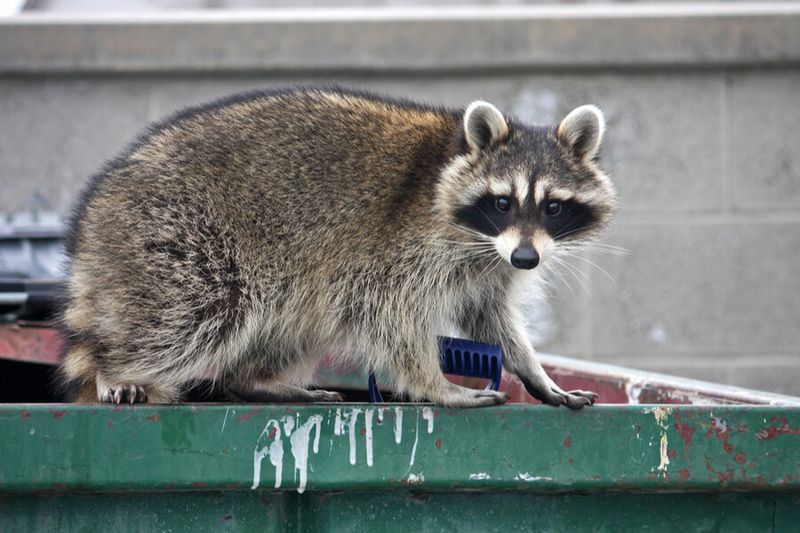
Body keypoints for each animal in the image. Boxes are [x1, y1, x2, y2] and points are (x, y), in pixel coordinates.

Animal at [60, 86, 617, 408]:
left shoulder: (489, 266)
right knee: (194, 311)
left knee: (297, 316)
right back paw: (117, 367)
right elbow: (392, 316)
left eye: (553, 207)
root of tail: (98, 207)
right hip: (176, 235)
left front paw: (534, 372)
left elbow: (489, 318)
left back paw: (256, 378)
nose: (527, 259)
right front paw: (433, 384)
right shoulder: (402, 249)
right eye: (502, 202)